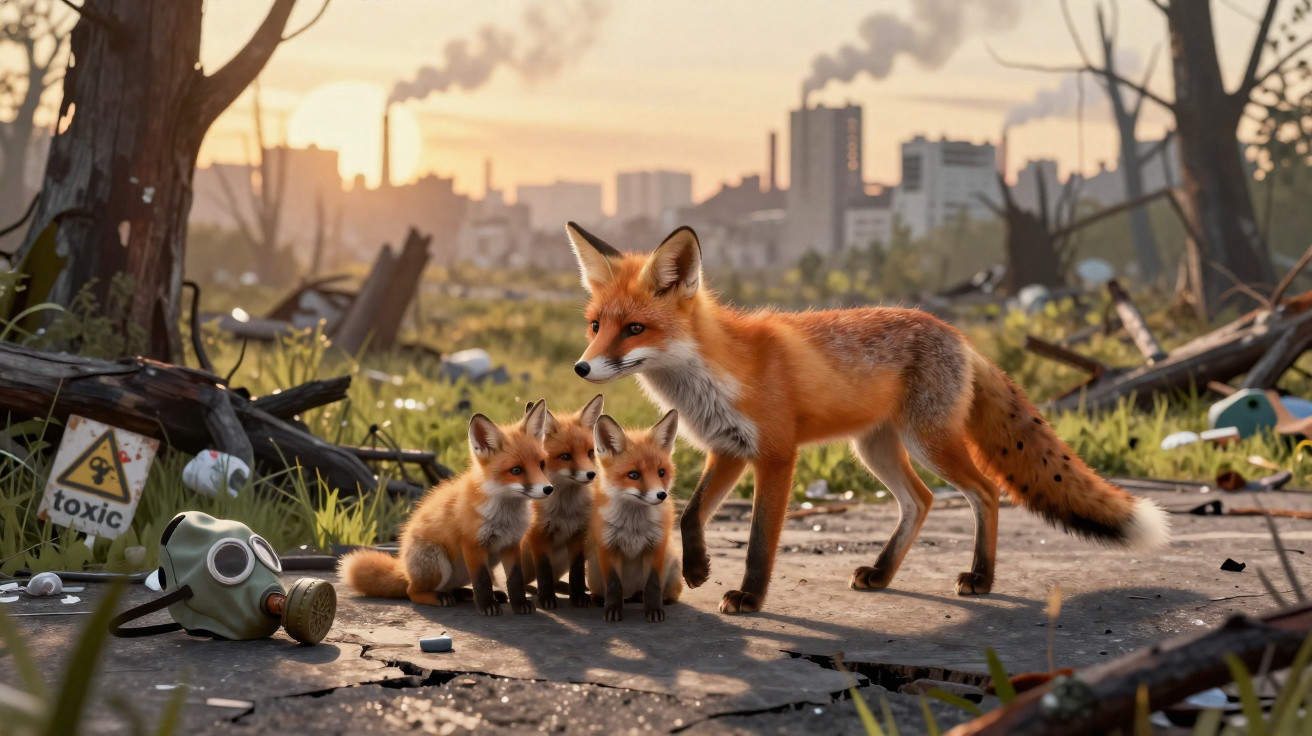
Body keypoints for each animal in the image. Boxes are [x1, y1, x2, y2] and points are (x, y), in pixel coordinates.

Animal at [339, 400, 553, 616]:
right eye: (516, 470)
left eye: (542, 464)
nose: (549, 489)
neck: (505, 514)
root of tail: (405, 571)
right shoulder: (472, 543)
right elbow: (482, 580)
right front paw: (486, 605)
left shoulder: (510, 543)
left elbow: (515, 579)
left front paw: (519, 604)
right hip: (439, 562)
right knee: (411, 592)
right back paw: (440, 598)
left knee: (452, 589)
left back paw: (469, 594)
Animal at [520, 394, 605, 610]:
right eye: (565, 456)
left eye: (590, 453)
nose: (591, 474)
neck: (565, 509)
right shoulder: (539, 535)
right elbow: (543, 572)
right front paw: (546, 598)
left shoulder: (578, 535)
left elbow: (577, 572)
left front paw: (578, 595)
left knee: (557, 578)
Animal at [586, 409, 683, 622]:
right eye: (633, 475)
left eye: (661, 472)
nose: (661, 495)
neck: (633, 526)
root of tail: (630, 593)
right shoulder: (608, 547)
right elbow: (613, 585)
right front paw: (613, 609)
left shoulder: (655, 547)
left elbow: (653, 586)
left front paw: (654, 610)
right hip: (594, 570)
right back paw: (599, 599)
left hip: (673, 563)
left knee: (656, 592)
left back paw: (661, 599)